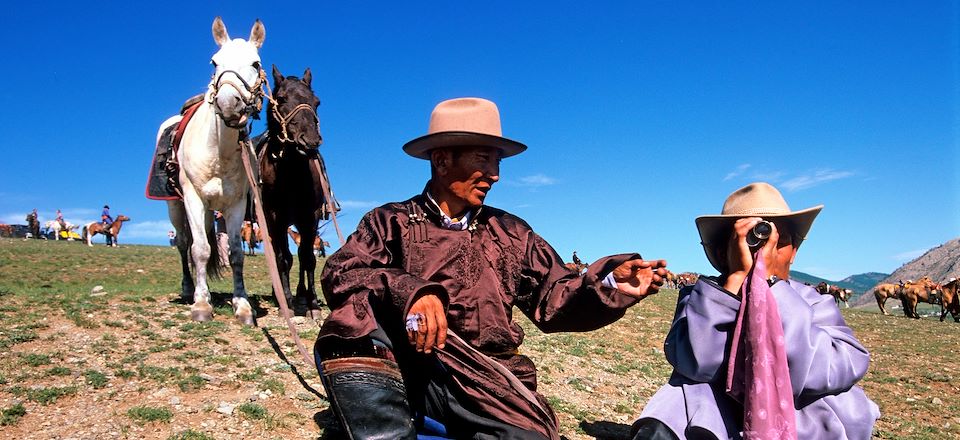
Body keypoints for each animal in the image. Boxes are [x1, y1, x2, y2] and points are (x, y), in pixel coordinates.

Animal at [160, 17, 266, 324]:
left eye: (255, 63)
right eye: (214, 61)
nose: (229, 104)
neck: (218, 152)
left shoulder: (236, 204)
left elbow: (236, 254)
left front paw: (242, 305)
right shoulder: (193, 199)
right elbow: (201, 250)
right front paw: (201, 304)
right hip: (175, 206)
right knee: (184, 243)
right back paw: (189, 289)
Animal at [256, 65, 332, 318]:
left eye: (316, 102)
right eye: (280, 99)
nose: (310, 140)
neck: (291, 175)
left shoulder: (310, 217)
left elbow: (307, 259)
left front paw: (312, 304)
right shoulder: (274, 218)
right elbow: (283, 259)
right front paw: (287, 303)